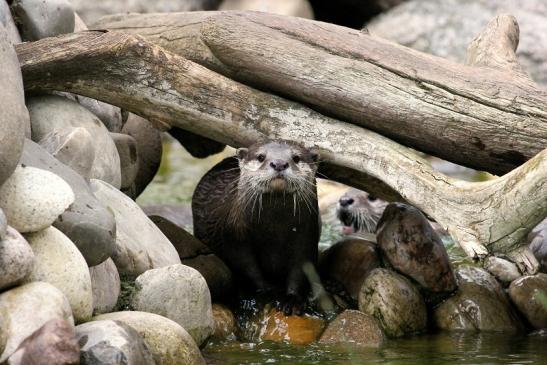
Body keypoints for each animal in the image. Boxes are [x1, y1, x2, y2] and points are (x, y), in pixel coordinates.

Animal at [193, 139, 322, 312]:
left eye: (296, 158)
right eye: (261, 157)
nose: (279, 163)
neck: (274, 232)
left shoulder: (307, 238)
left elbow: (301, 269)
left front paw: (292, 300)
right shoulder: (236, 237)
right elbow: (247, 267)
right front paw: (265, 294)